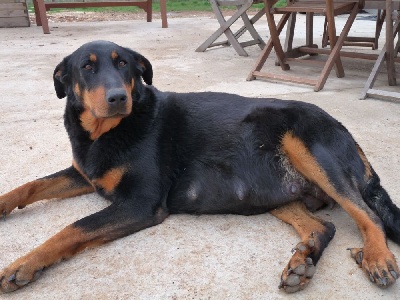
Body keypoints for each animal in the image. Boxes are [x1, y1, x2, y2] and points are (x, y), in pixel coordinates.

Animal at [0, 40, 400, 292]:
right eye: (87, 68)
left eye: (124, 65)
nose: (118, 98)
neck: (105, 133)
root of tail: (345, 130)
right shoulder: (84, 174)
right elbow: (32, 185)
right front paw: (4, 205)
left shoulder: (140, 204)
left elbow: (72, 229)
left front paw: (23, 265)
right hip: (275, 192)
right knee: (323, 226)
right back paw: (302, 265)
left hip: (311, 151)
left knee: (369, 214)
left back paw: (377, 257)